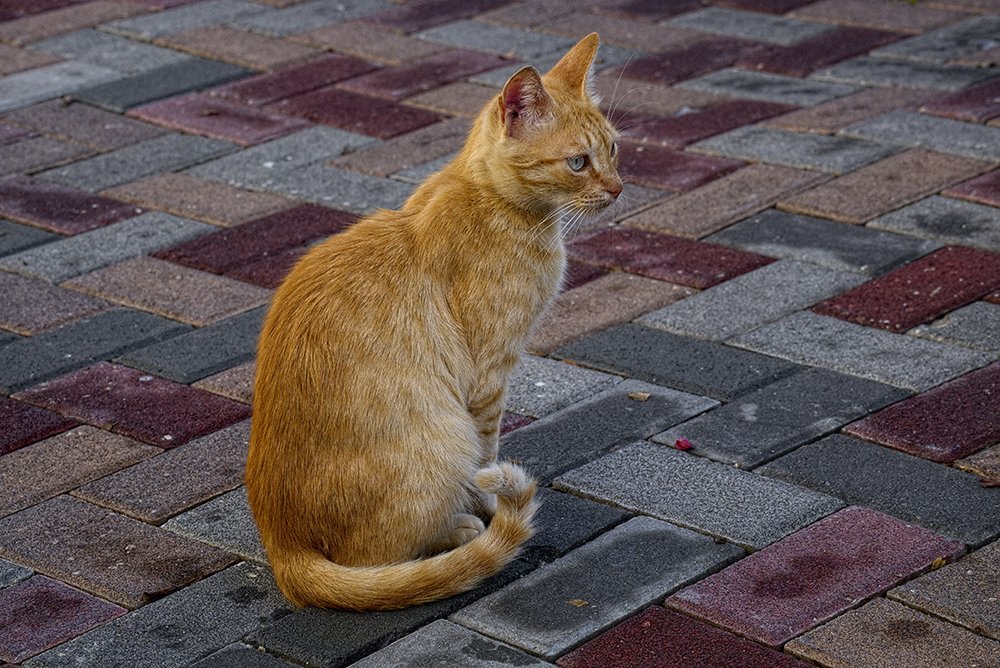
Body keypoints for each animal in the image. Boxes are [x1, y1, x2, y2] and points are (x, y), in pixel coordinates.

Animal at [246, 35, 620, 612]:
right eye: (578, 162)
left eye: (614, 150)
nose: (618, 188)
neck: (490, 199)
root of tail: (282, 547)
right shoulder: (489, 377)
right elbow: (489, 454)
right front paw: (488, 507)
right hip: (444, 435)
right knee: (378, 557)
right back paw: (460, 530)